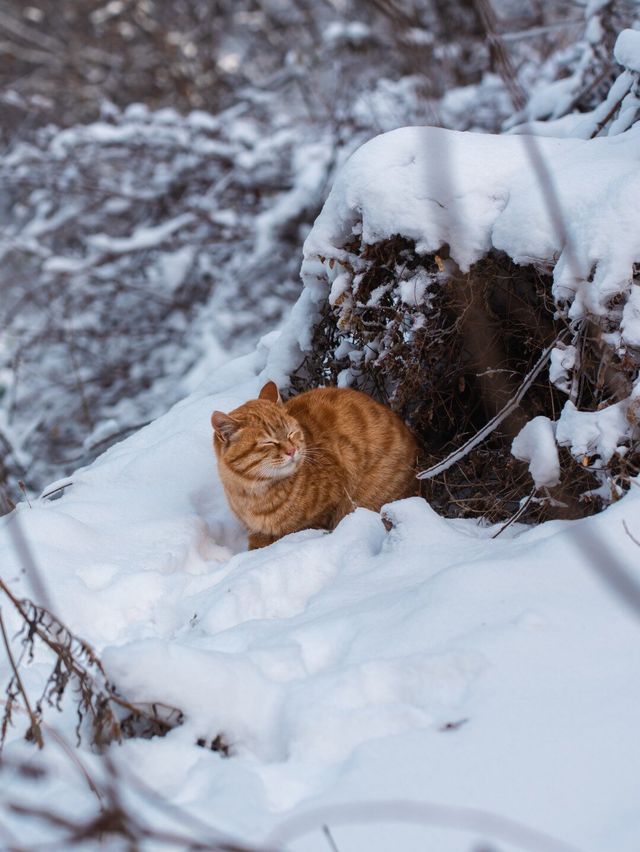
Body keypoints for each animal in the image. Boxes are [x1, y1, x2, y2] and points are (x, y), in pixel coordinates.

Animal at [212, 382, 418, 548]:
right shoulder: (255, 530)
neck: (254, 494)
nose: (291, 450)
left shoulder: (326, 508)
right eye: (268, 442)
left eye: (291, 433)